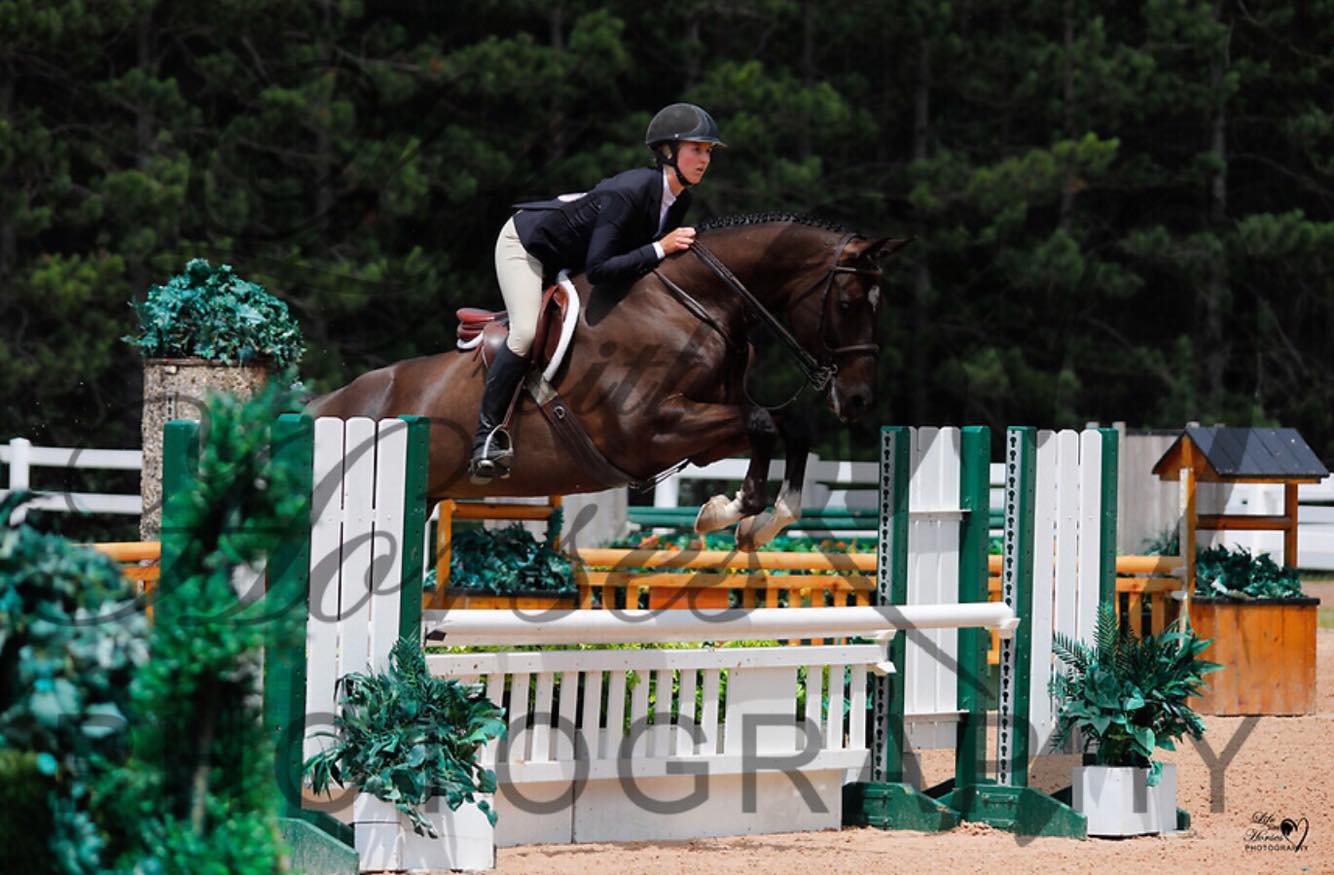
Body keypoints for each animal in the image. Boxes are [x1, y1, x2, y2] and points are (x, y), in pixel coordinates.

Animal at [305, 213, 907, 549]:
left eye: (882, 306)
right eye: (849, 304)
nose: (858, 399)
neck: (694, 304)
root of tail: (322, 405)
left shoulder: (705, 436)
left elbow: (787, 426)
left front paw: (761, 521)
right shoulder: (648, 432)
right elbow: (762, 423)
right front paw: (730, 510)